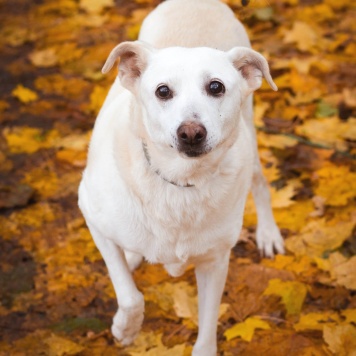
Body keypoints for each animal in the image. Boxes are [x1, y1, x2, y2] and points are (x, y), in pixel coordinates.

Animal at [78, 0, 284, 354]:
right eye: (163, 91)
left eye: (216, 86)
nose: (190, 133)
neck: (180, 183)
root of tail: (198, 2)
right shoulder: (91, 214)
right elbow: (129, 294)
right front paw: (126, 328)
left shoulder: (215, 261)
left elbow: (207, 323)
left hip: (252, 140)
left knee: (260, 185)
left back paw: (268, 233)